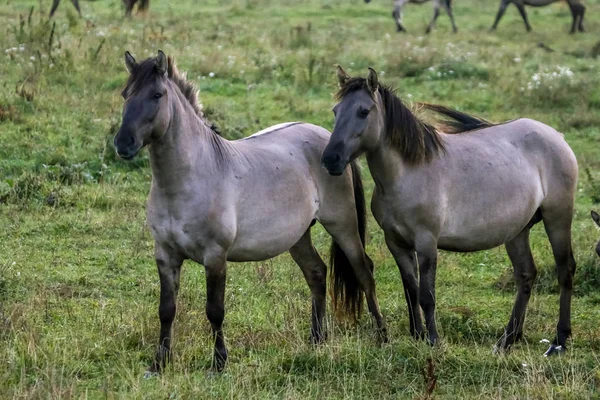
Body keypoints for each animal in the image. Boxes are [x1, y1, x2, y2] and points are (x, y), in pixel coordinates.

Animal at [113, 51, 386, 374]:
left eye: (157, 95)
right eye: (125, 94)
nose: (123, 143)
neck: (190, 178)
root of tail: (332, 143)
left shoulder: (215, 257)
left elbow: (215, 310)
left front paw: (219, 363)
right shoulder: (165, 256)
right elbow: (166, 309)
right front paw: (159, 363)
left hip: (342, 225)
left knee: (364, 271)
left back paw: (382, 336)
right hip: (298, 236)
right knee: (317, 273)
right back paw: (317, 340)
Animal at [322, 68, 580, 356]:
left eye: (364, 111)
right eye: (336, 110)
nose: (330, 159)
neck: (407, 174)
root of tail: (556, 135)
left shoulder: (426, 242)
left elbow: (427, 295)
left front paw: (433, 340)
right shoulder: (396, 243)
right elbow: (411, 290)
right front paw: (417, 335)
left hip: (558, 217)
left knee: (565, 270)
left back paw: (558, 341)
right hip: (517, 231)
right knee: (526, 275)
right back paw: (506, 340)